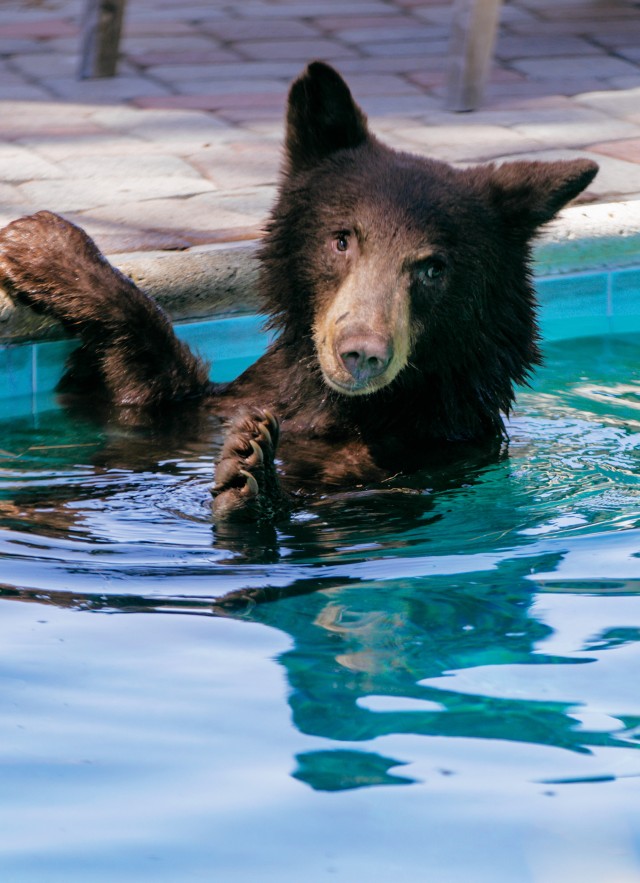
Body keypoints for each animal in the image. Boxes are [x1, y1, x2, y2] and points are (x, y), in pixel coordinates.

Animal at [0, 61, 598, 525]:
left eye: (432, 269)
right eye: (342, 239)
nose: (361, 353)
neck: (343, 406)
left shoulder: (432, 458)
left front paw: (250, 479)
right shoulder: (216, 405)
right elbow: (146, 395)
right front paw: (41, 244)